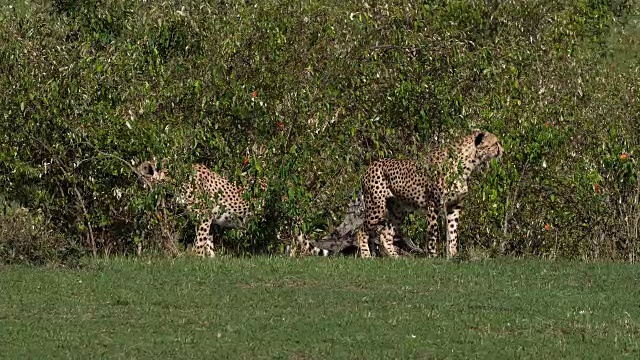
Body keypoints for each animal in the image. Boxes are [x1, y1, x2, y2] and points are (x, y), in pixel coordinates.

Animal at [358, 131, 502, 258]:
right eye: (495, 143)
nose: (503, 150)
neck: (467, 164)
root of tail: (371, 165)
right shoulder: (434, 204)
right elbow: (433, 232)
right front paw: (433, 256)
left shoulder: (454, 206)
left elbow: (453, 233)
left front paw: (453, 256)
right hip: (376, 206)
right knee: (361, 230)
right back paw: (366, 256)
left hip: (398, 209)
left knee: (385, 233)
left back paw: (396, 258)